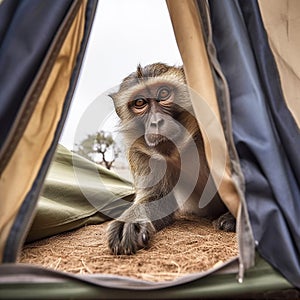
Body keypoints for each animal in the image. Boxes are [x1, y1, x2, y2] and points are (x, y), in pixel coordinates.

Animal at [106, 63, 236, 255]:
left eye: (164, 94)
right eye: (139, 103)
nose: (156, 122)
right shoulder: (140, 152)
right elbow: (159, 198)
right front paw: (131, 220)